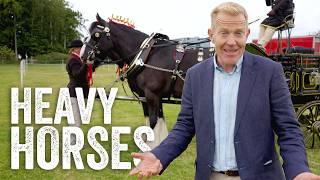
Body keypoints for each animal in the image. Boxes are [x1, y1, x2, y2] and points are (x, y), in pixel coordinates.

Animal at [81, 14, 214, 148]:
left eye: (96, 35)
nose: (82, 56)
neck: (147, 55)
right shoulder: (147, 96)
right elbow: (155, 121)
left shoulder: (152, 95)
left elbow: (153, 122)